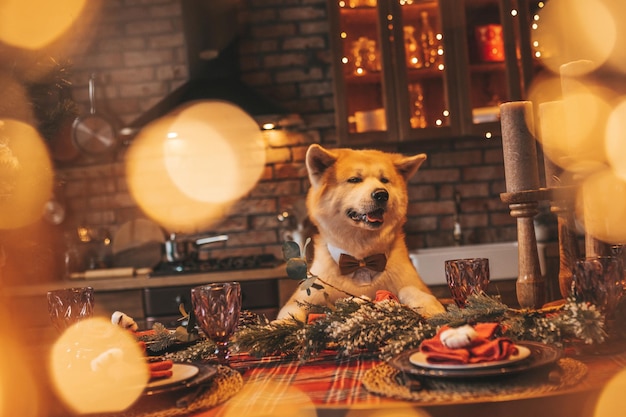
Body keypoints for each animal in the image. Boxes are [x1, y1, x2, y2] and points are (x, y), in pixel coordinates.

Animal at [276, 145, 444, 320]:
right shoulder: (303, 295)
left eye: (384, 180)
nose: (381, 194)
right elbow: (289, 312)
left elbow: (409, 289)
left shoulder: (412, 282)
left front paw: (431, 307)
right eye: (354, 180)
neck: (361, 258)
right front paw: (278, 324)